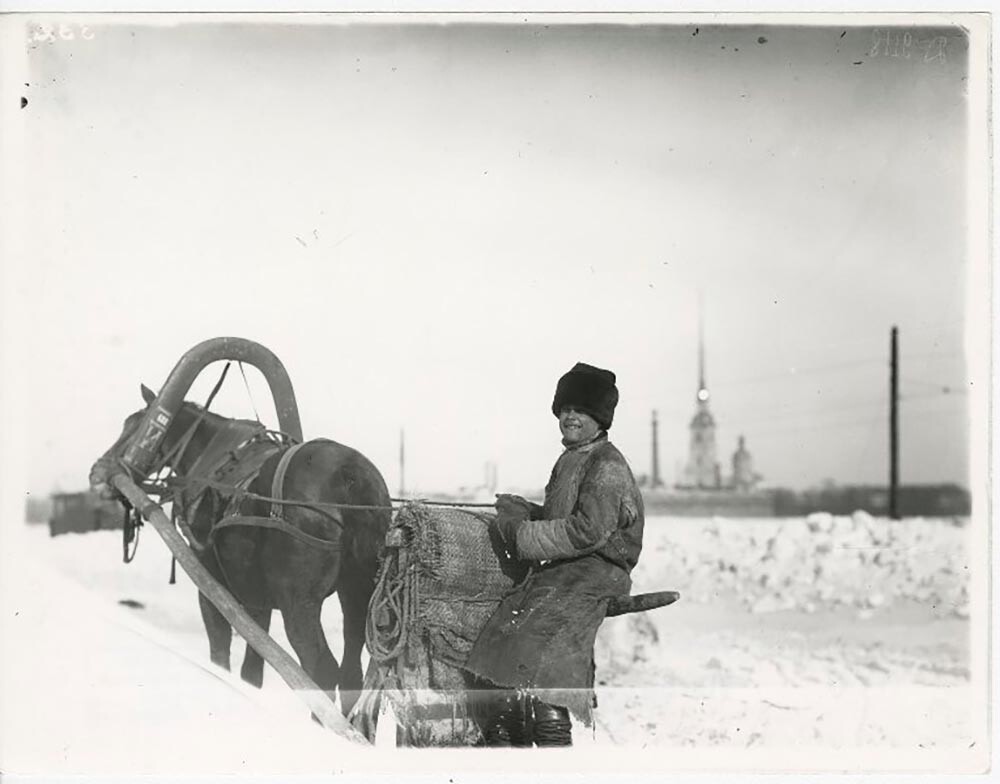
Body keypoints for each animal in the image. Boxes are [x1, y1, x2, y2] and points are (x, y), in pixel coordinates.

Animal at [90, 384, 392, 716]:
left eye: (134, 427)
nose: (97, 473)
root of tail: (350, 474)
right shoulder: (256, 596)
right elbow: (252, 668)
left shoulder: (211, 584)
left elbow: (220, 650)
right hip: (356, 591)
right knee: (352, 670)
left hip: (299, 603)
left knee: (321, 668)